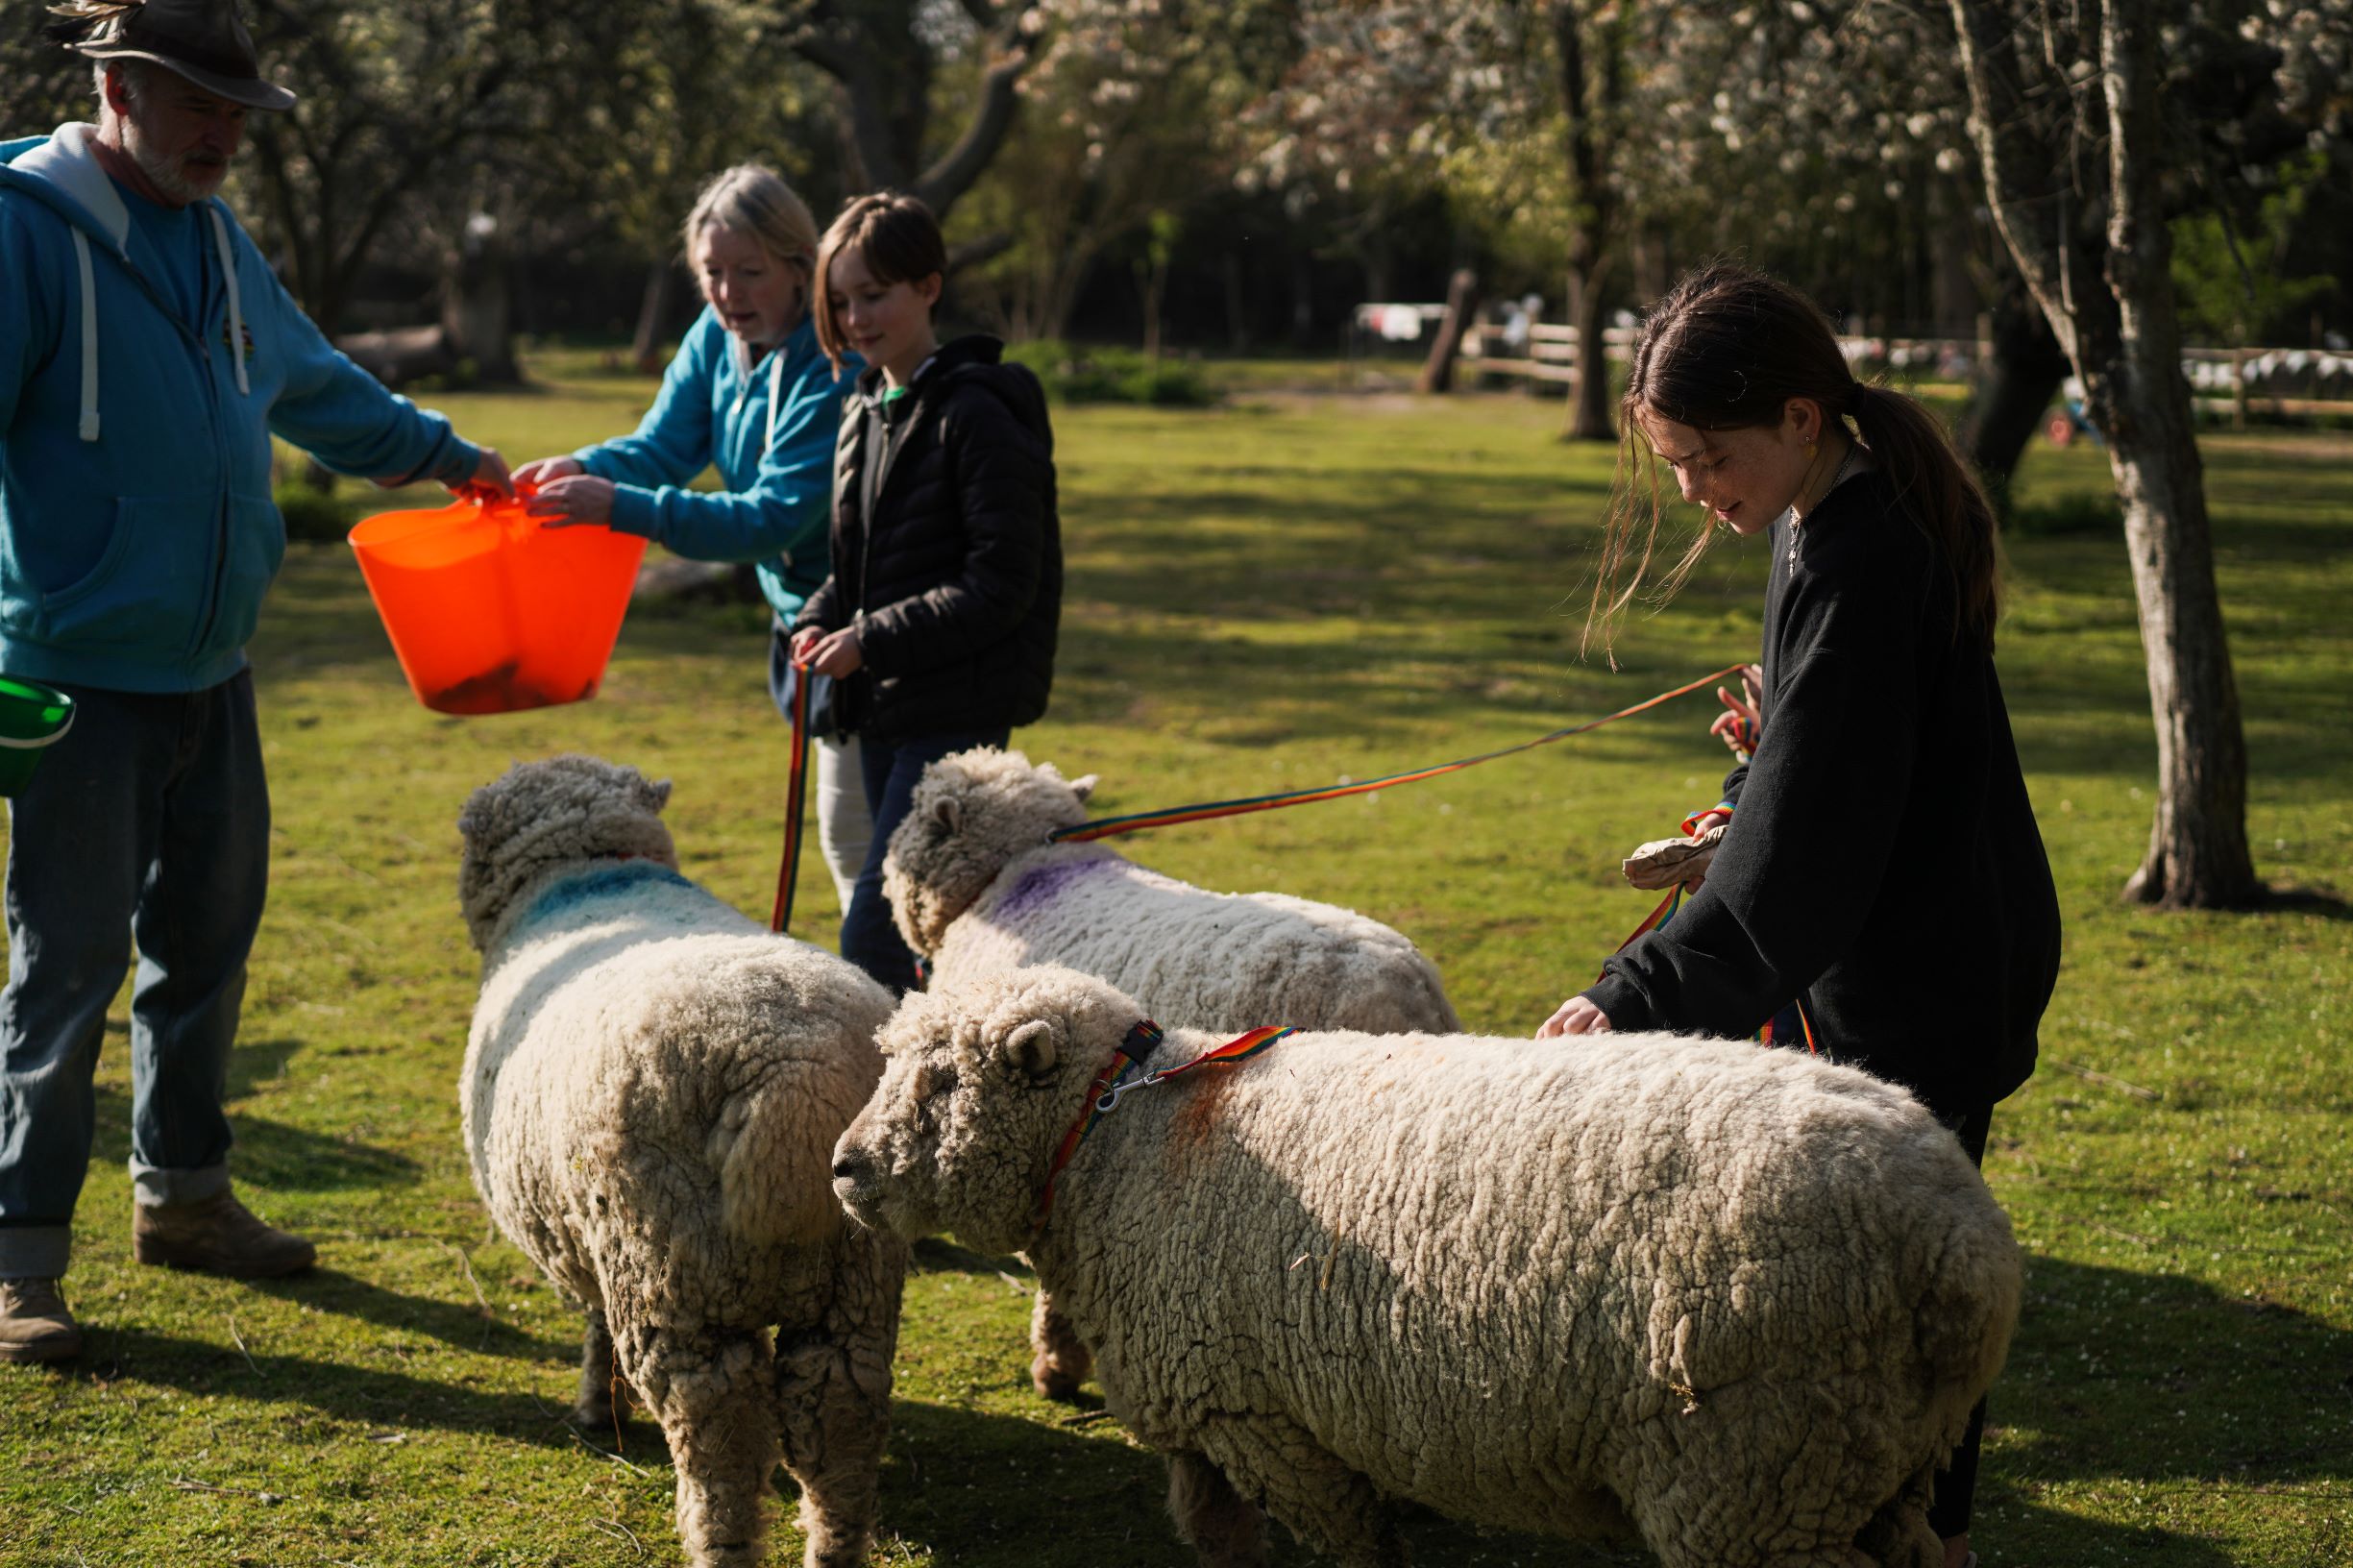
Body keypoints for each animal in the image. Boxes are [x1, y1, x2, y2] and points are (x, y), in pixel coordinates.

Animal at [459, 755, 905, 1568]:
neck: (595, 874)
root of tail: (792, 1075)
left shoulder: (586, 1236)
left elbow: (593, 1327)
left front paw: (594, 1408)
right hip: (854, 1276)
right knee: (838, 1411)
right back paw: (832, 1543)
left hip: (665, 1269)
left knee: (717, 1431)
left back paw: (717, 1540)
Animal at [832, 964, 2023, 1568]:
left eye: (941, 1083)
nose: (842, 1169)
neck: (1115, 1140)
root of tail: (1961, 1243)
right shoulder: (1207, 1410)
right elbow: (1216, 1536)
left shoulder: (1267, 1420)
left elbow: (1349, 1549)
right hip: (1860, 1461)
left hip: (1752, 1470)